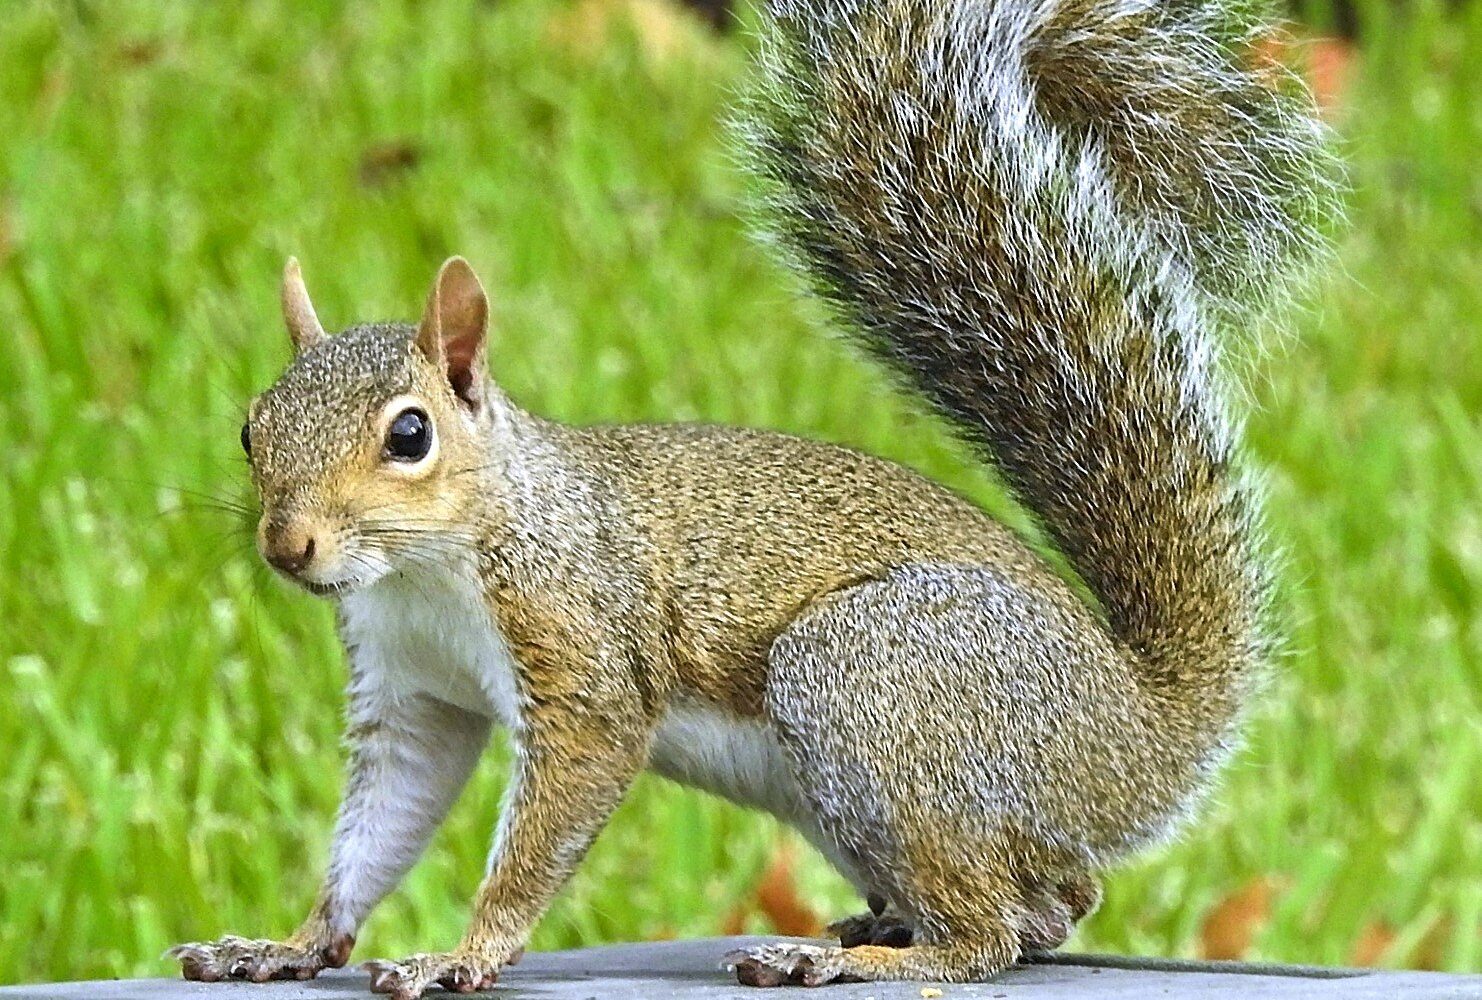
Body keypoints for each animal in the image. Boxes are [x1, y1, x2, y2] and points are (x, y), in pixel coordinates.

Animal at [169, 0, 1333, 994]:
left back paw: (867, 957)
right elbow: (382, 822)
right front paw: (291, 942)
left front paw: (462, 954)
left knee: (997, 931)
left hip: (876, 679)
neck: (430, 564)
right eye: (251, 428)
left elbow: (552, 815)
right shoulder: (414, 694)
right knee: (1054, 901)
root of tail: (1140, 736)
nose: (287, 546)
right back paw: (874, 926)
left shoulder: (580, 650)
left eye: (408, 435)